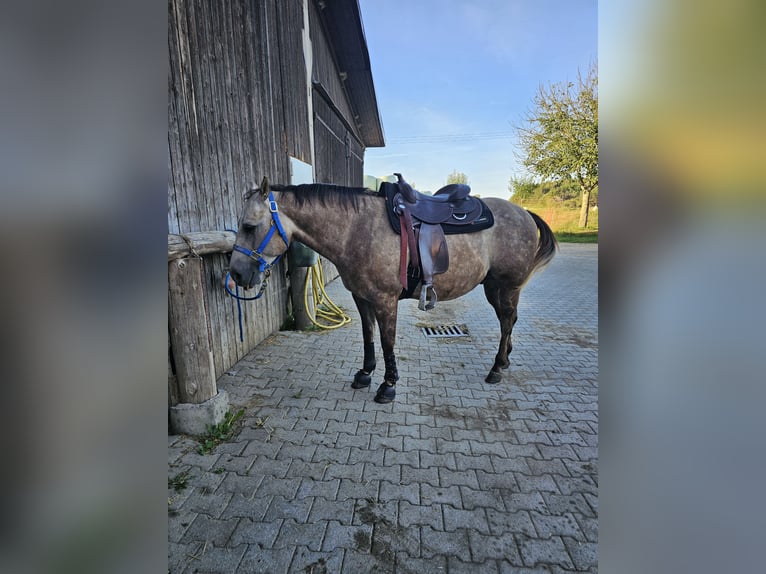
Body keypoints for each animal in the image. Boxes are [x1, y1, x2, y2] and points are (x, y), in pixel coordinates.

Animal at [228, 177, 560, 404]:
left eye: (249, 226)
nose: (236, 274)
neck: (356, 230)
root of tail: (523, 212)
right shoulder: (361, 297)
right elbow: (368, 337)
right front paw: (364, 374)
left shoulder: (386, 300)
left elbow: (387, 341)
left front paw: (388, 385)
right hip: (495, 287)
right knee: (509, 321)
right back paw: (505, 360)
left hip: (505, 287)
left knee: (507, 322)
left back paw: (496, 368)